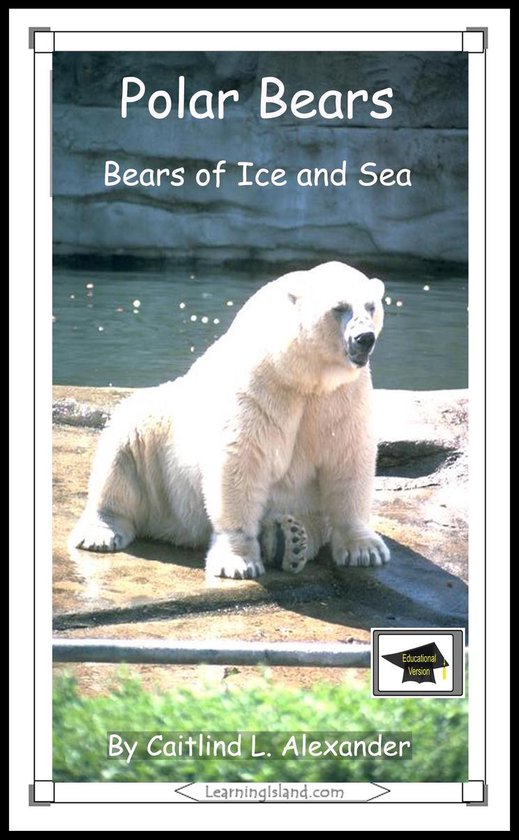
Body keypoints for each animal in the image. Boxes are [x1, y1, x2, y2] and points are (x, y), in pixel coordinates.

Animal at [70, 261, 390, 579]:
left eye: (371, 306)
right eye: (339, 307)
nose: (364, 338)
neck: (302, 374)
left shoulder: (343, 398)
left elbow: (348, 459)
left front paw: (365, 549)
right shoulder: (260, 386)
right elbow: (242, 458)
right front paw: (238, 561)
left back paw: (288, 540)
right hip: (163, 457)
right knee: (125, 445)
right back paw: (101, 531)